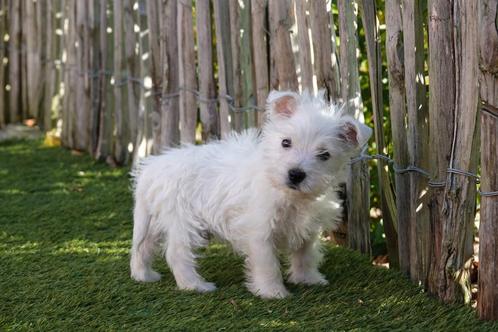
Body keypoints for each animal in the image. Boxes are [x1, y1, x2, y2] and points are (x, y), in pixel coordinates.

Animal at [130, 90, 372, 298]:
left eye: (324, 155)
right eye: (286, 142)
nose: (295, 174)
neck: (288, 194)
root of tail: (151, 169)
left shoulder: (308, 230)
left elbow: (305, 255)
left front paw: (308, 279)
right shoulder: (259, 230)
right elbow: (267, 264)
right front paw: (273, 292)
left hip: (153, 222)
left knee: (142, 248)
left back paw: (144, 275)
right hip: (184, 222)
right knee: (177, 254)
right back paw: (195, 285)